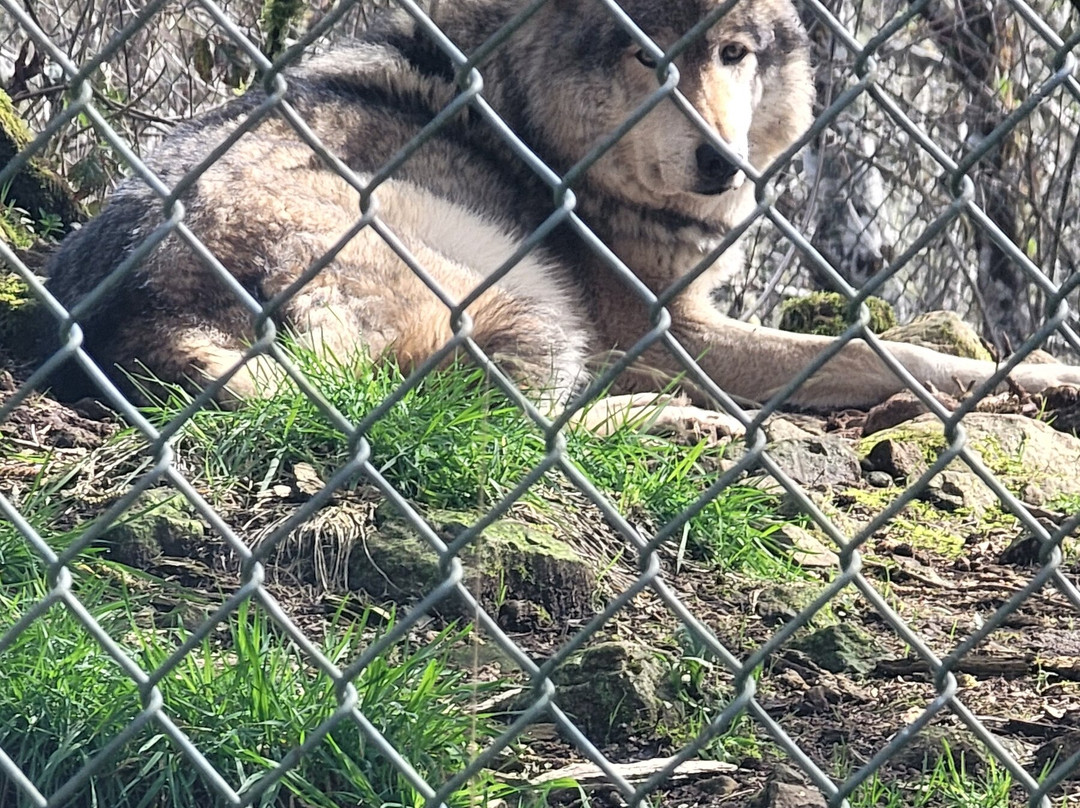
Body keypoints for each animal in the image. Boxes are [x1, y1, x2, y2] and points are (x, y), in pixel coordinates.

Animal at [44, 0, 1080, 420]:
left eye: (734, 54)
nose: (721, 163)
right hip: (522, 291)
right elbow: (890, 354)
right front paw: (1046, 376)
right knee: (512, 423)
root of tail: (143, 318)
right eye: (643, 57)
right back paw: (684, 425)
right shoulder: (674, 331)